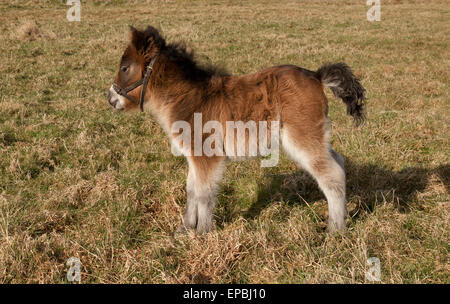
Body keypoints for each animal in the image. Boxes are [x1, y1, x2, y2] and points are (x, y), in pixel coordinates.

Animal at [108, 26, 366, 235]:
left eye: (125, 67)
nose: (110, 99)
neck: (188, 97)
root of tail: (317, 75)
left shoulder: (206, 155)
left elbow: (204, 192)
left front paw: (203, 233)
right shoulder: (193, 155)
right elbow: (191, 189)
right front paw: (184, 229)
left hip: (303, 138)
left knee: (331, 174)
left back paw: (335, 230)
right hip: (316, 137)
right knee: (338, 161)